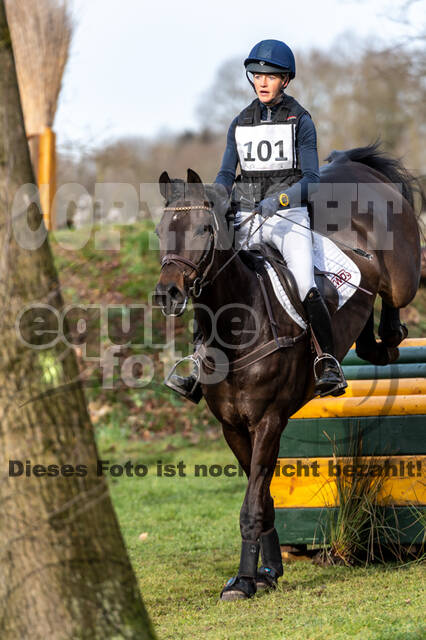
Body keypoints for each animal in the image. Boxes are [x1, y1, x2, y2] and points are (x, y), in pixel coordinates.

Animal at [154, 144, 422, 600]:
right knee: (367, 332)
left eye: (204, 230)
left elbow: (252, 504)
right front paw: (268, 571)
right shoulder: (233, 426)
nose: (167, 294)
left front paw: (244, 581)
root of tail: (355, 164)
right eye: (159, 231)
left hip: (404, 274)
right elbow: (262, 498)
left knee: (392, 299)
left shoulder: (268, 421)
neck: (238, 323)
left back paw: (388, 331)